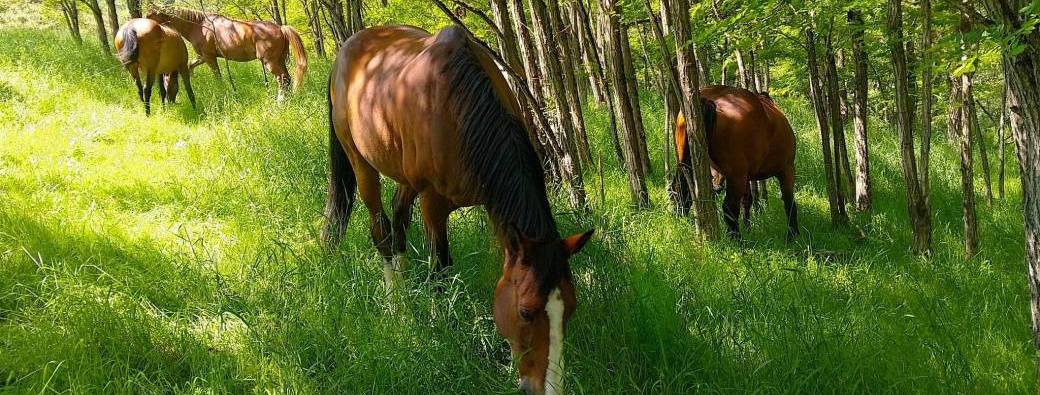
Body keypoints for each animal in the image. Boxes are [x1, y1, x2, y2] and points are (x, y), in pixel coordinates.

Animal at [148, 6, 305, 100]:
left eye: (151, 15)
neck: (199, 25)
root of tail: (281, 28)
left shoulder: (209, 57)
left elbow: (218, 76)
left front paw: (222, 91)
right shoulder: (203, 56)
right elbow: (191, 65)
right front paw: (193, 78)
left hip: (270, 62)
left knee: (282, 79)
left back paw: (280, 101)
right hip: (280, 60)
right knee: (288, 79)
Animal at [322, 25, 594, 395]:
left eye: (570, 309)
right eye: (526, 312)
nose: (548, 389)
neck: (458, 108)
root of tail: (344, 52)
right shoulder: (433, 203)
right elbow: (440, 268)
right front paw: (440, 328)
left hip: (405, 176)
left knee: (398, 221)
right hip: (361, 164)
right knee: (381, 230)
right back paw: (396, 305)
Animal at [669, 86, 798, 241]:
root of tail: (709, 100)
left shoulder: (746, 175)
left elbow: (747, 200)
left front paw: (748, 227)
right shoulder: (787, 168)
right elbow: (789, 201)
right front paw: (792, 235)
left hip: (688, 165)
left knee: (680, 191)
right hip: (737, 176)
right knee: (729, 207)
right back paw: (738, 241)